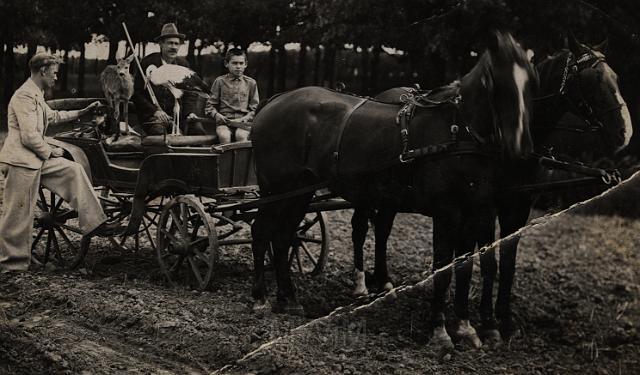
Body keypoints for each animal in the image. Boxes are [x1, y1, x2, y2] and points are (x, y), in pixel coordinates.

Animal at [249, 30, 536, 352]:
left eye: (531, 81)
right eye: (496, 81)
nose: (521, 149)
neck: (457, 129)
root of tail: (276, 99)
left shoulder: (474, 210)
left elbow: (465, 266)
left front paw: (466, 327)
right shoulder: (447, 212)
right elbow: (443, 268)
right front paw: (440, 331)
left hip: (299, 190)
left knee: (283, 236)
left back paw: (289, 298)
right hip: (277, 187)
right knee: (261, 230)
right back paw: (260, 296)